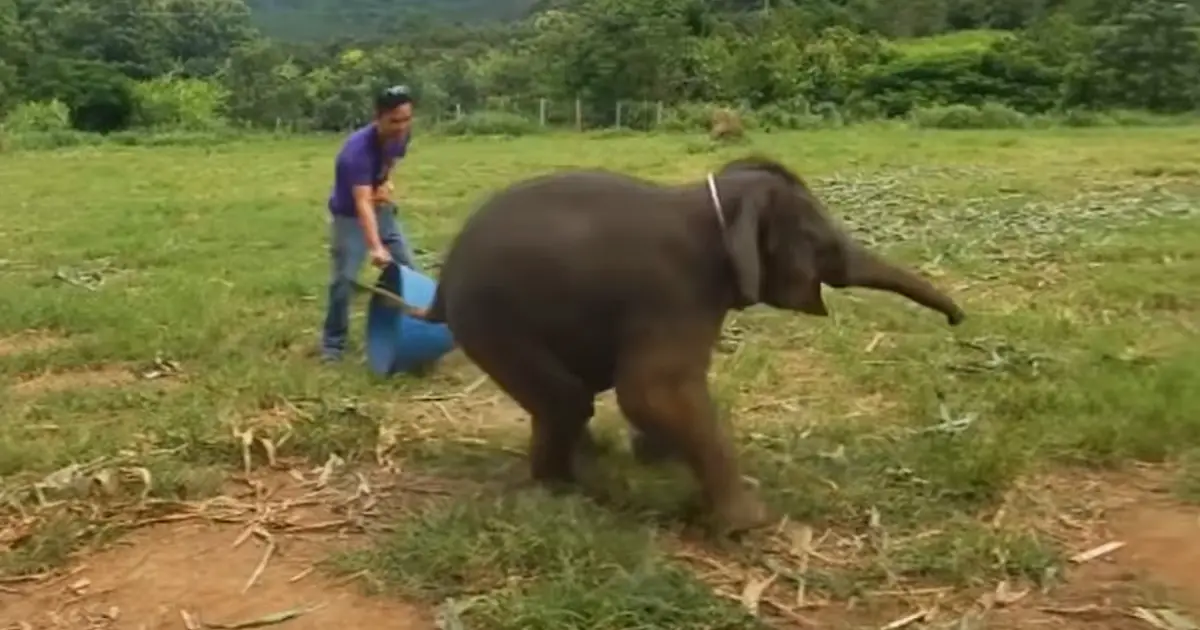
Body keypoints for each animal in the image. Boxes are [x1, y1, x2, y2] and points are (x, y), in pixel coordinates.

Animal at [422, 154, 964, 532]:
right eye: (821, 244)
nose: (958, 320)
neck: (714, 202)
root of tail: (443, 282)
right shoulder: (674, 293)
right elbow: (654, 391)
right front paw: (751, 524)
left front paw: (656, 460)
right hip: (492, 321)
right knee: (567, 400)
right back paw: (567, 490)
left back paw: (595, 465)